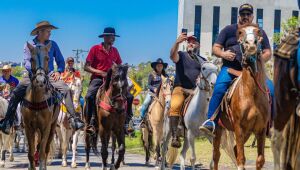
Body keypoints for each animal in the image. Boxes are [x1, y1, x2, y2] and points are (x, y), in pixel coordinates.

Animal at [21, 41, 60, 170]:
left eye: (47, 58)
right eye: (31, 59)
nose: (40, 81)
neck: (37, 100)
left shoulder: (46, 127)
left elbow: (42, 151)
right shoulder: (28, 127)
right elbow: (31, 153)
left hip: (52, 127)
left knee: (45, 149)